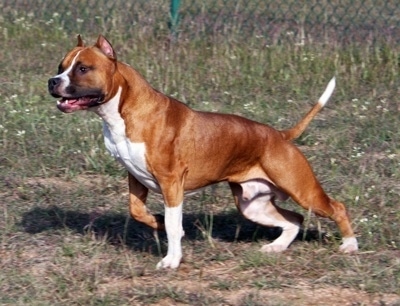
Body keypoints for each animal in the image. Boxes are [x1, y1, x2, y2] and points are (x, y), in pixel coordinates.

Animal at [48, 35, 358, 268]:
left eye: (83, 68)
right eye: (61, 66)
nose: (53, 81)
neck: (123, 110)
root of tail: (280, 136)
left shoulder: (171, 182)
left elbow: (174, 224)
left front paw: (171, 260)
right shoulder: (135, 178)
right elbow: (137, 211)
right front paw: (156, 222)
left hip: (302, 190)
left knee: (337, 208)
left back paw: (349, 245)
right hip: (253, 204)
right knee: (294, 219)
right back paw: (277, 247)